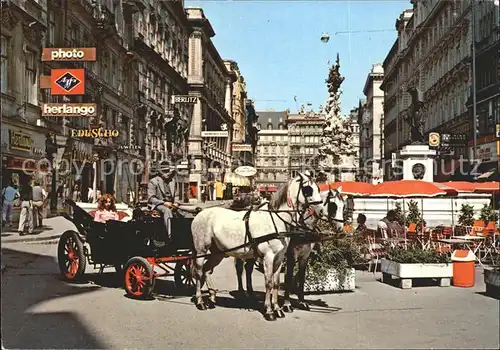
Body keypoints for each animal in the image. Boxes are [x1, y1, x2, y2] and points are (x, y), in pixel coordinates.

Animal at [189, 172, 326, 320]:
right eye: (308, 189)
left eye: (318, 188)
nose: (322, 211)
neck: (276, 221)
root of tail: (199, 213)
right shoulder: (268, 257)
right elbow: (268, 283)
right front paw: (269, 310)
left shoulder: (279, 258)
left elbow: (276, 284)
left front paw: (277, 308)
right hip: (201, 250)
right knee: (199, 272)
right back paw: (200, 301)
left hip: (217, 252)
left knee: (207, 270)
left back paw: (212, 298)